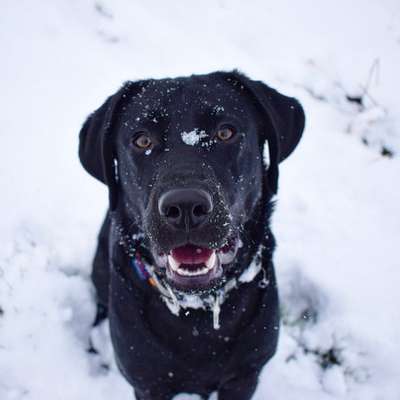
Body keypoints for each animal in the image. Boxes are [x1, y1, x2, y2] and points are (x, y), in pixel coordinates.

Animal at [79, 70, 304, 398]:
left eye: (226, 132)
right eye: (142, 139)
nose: (185, 206)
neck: (197, 312)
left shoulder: (245, 375)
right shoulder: (148, 383)